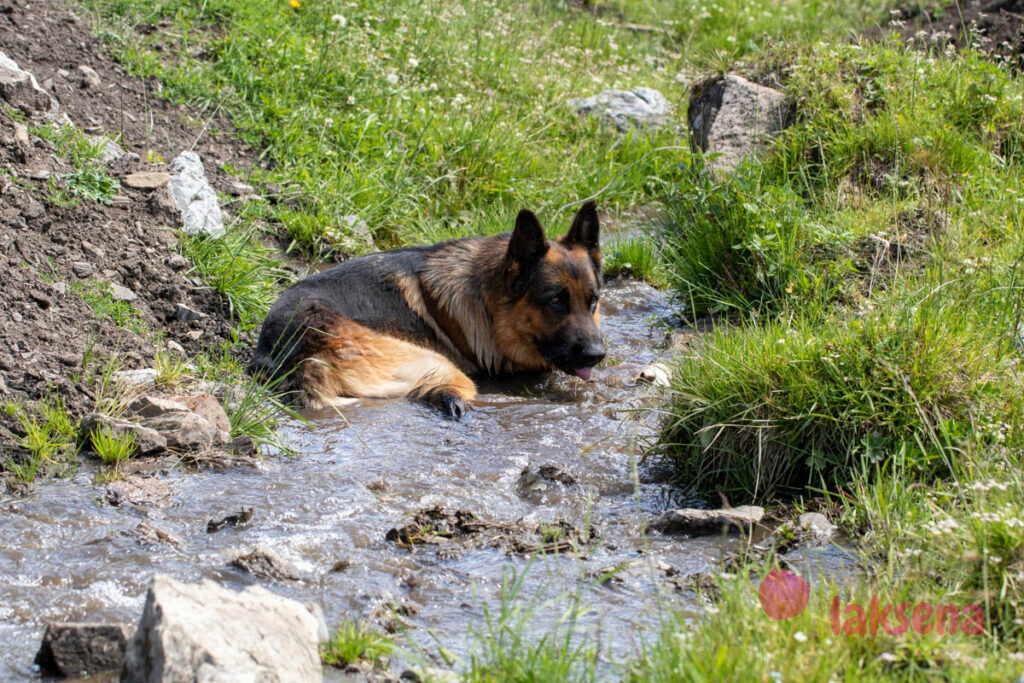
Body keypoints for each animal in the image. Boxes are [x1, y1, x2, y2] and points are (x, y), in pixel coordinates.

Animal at [250, 200, 602, 419]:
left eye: (593, 300)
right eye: (555, 300)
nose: (597, 355)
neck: (485, 299)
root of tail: (302, 352)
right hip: (439, 364)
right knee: (447, 393)